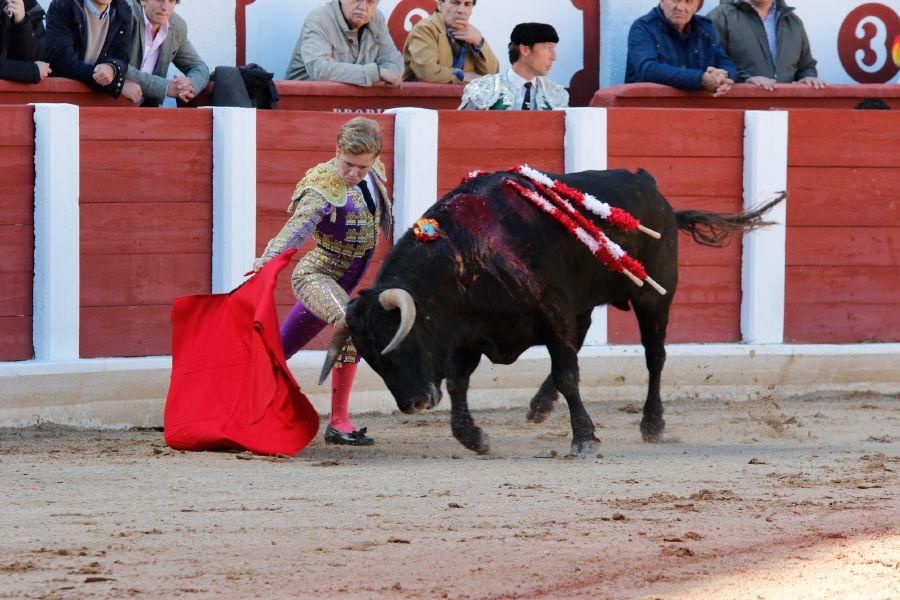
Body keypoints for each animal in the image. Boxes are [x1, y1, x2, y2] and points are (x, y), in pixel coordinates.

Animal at [322, 169, 780, 454]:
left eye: (400, 341)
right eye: (373, 359)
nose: (414, 403)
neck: (467, 253)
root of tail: (652, 188)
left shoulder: (552, 312)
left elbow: (568, 373)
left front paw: (585, 438)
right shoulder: (469, 332)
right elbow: (458, 383)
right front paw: (473, 437)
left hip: (653, 298)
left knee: (654, 356)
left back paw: (652, 424)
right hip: (585, 303)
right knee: (586, 338)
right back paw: (540, 405)